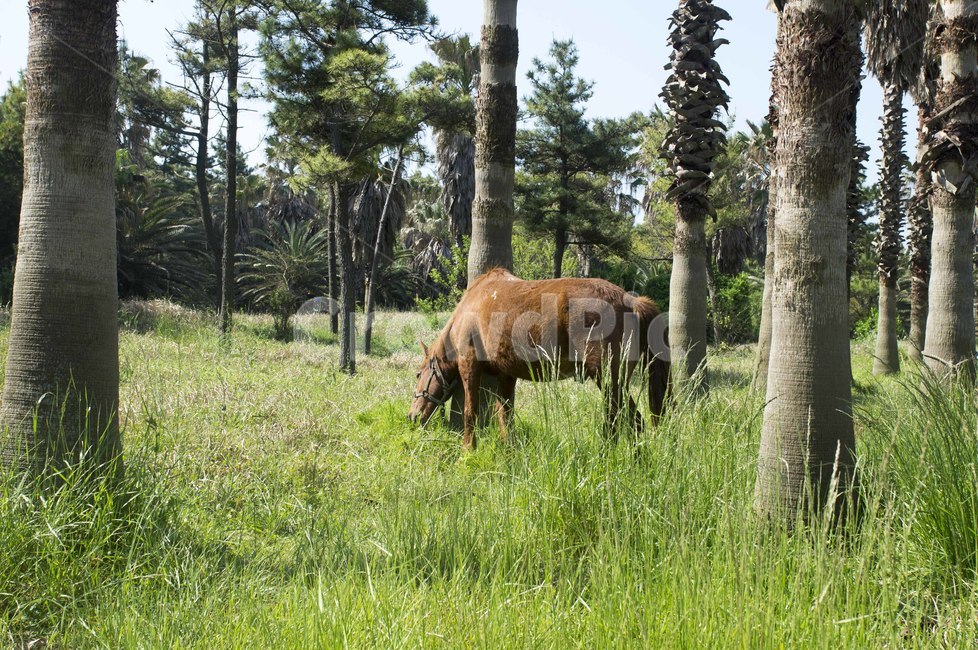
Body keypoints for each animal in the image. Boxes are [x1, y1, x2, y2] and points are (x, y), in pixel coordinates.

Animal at [408, 268, 670, 449]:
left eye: (419, 374)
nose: (412, 416)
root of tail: (631, 301)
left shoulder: (469, 368)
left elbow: (470, 412)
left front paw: (468, 450)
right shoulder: (506, 376)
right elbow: (505, 416)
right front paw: (508, 450)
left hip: (608, 381)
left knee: (623, 422)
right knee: (633, 423)